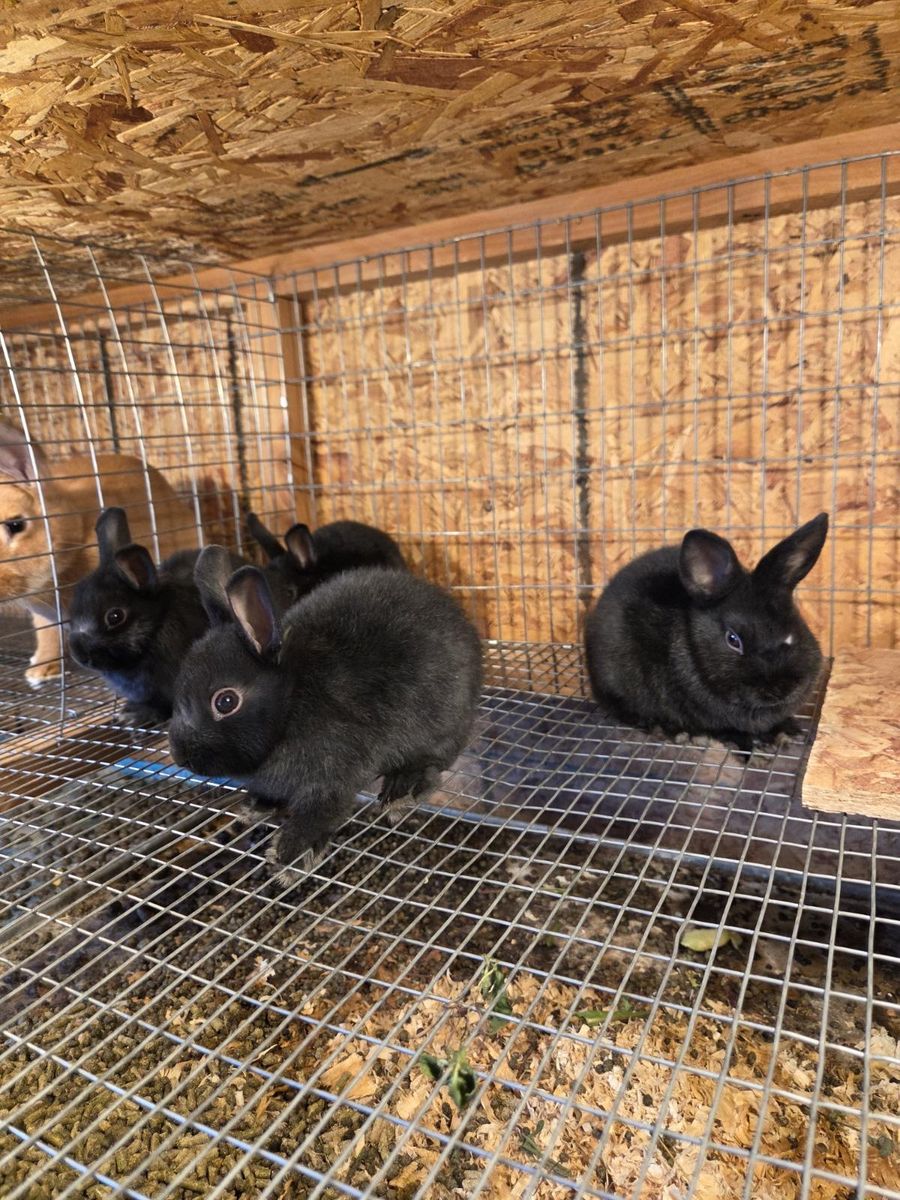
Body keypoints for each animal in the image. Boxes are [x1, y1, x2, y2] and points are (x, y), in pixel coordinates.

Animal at [168, 547, 482, 874]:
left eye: (226, 702)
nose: (180, 757)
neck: (290, 701)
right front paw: (254, 807)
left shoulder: (333, 773)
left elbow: (321, 810)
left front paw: (290, 852)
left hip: (442, 717)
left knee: (436, 758)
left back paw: (402, 788)